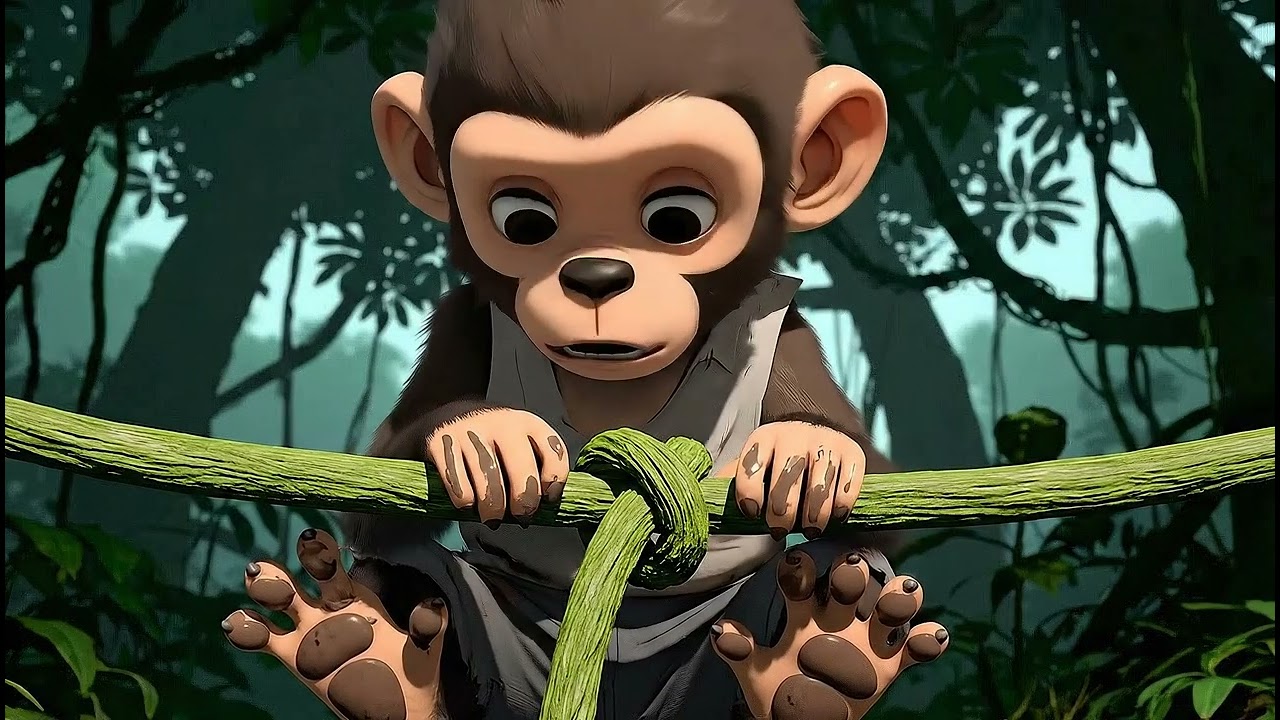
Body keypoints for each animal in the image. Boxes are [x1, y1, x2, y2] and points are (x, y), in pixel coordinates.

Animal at [219, 2, 950, 719]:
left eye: (678, 219)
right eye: (524, 221)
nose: (596, 276)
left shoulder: (786, 328)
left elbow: (878, 500)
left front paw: (807, 450)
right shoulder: (462, 320)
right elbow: (375, 495)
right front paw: (483, 437)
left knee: (843, 562)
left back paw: (821, 661)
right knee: (413, 571)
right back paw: (362, 660)